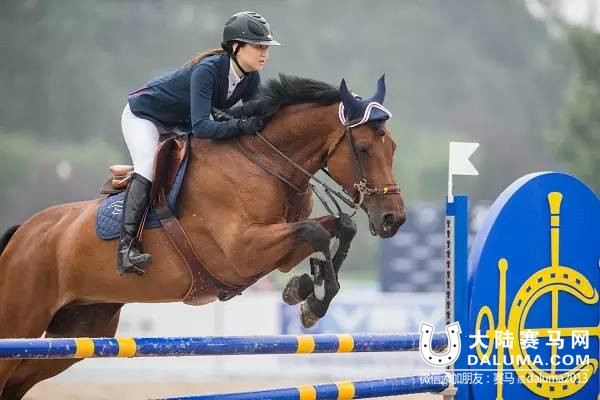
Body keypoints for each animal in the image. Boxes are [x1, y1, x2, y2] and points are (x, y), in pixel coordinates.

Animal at [0, 74, 405, 399]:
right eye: (364, 149)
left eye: (393, 147)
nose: (393, 219)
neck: (266, 163)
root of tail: (23, 233)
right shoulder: (242, 251)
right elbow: (316, 232)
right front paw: (312, 299)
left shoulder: (277, 250)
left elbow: (339, 228)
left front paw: (306, 291)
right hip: (22, 320)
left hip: (76, 331)